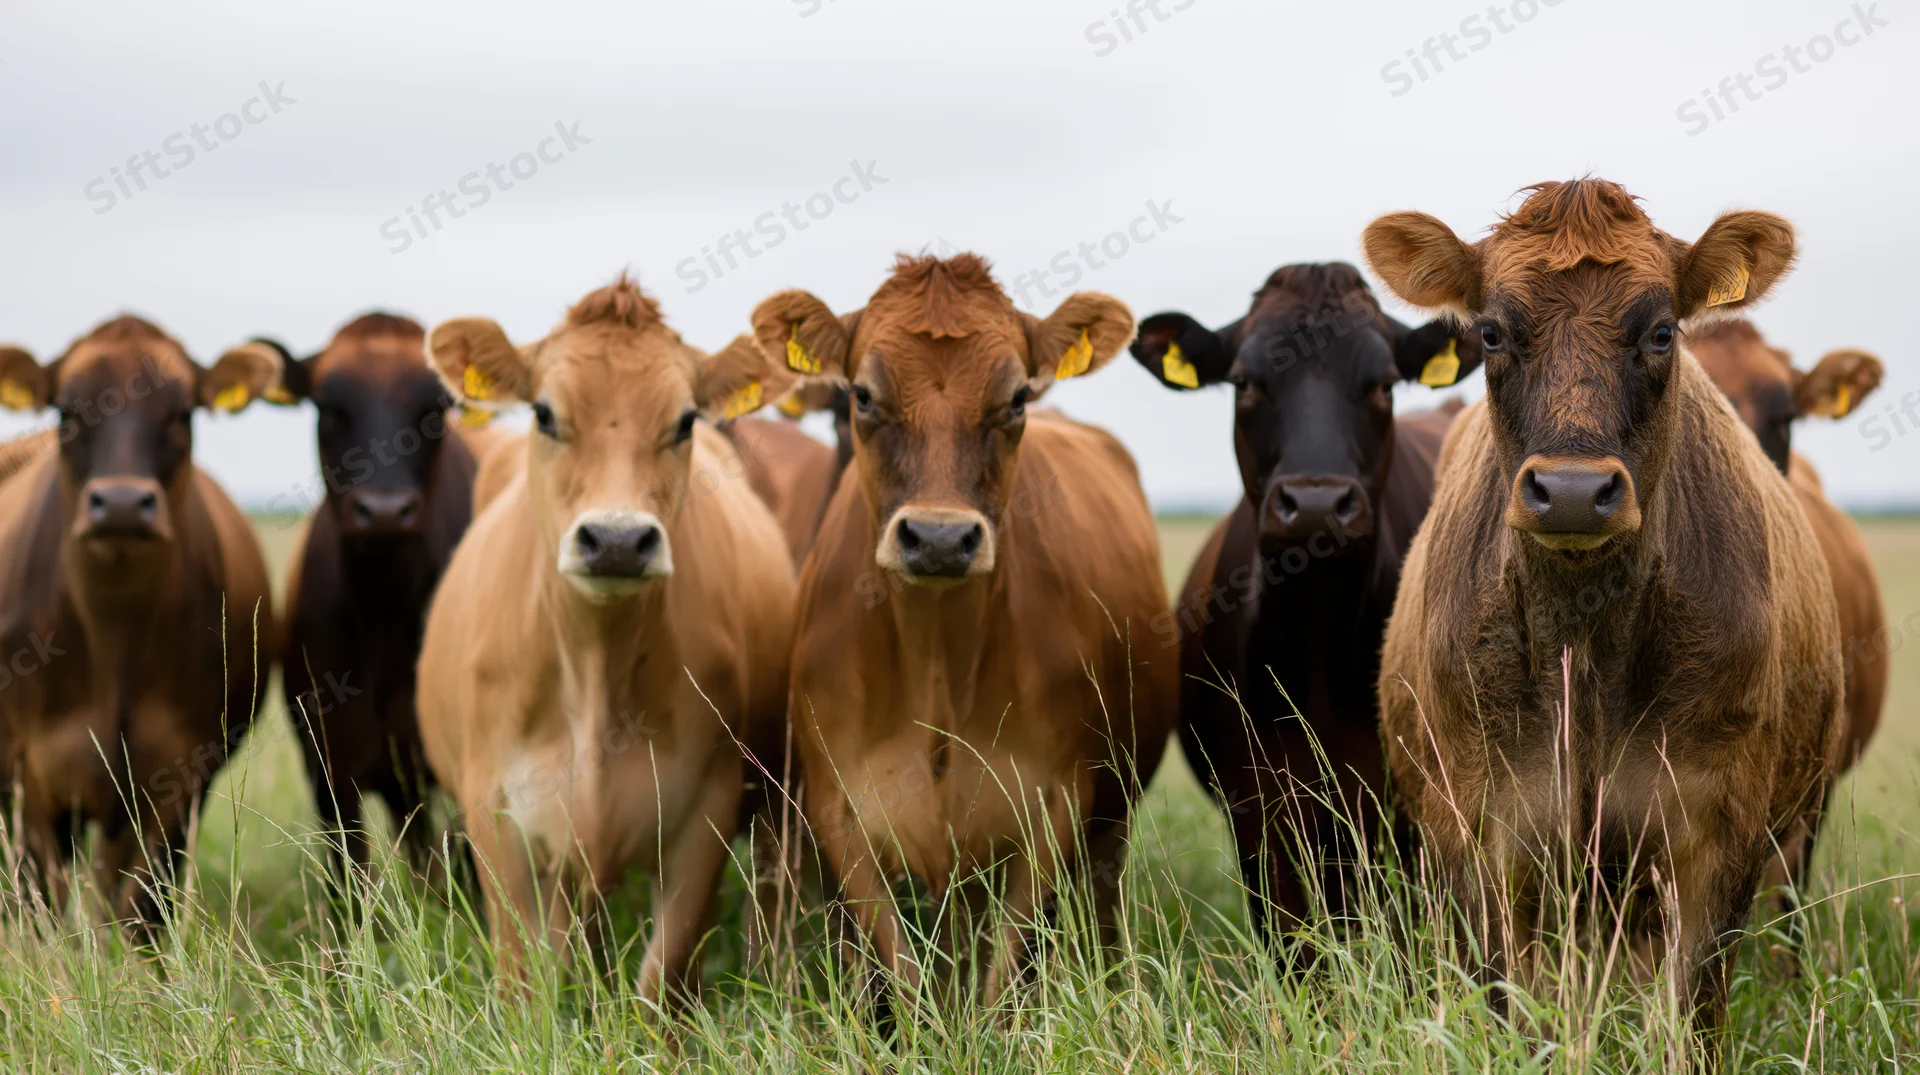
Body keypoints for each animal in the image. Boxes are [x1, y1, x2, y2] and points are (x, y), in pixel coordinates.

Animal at [0, 317, 281, 934]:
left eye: (182, 413)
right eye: (68, 410)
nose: (124, 503)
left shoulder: (178, 778)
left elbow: (142, 910)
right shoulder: (33, 780)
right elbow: (41, 906)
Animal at [242, 313, 485, 892]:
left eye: (434, 410)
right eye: (330, 407)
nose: (384, 510)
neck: (383, 612)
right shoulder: (329, 770)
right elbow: (349, 882)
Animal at [416, 278, 796, 1006]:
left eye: (686, 420)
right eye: (543, 412)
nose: (617, 539)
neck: (596, 663)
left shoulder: (705, 815)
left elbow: (662, 980)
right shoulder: (495, 816)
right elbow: (523, 980)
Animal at [721, 253, 1178, 1005]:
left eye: (1017, 398)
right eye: (863, 394)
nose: (939, 538)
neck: (936, 661)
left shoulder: (1054, 805)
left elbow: (1003, 980)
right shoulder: (837, 811)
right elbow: (902, 978)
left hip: (1110, 818)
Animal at [1363, 180, 1844, 1047]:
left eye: (1661, 331)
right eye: (1491, 330)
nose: (1573, 489)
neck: (1584, 645)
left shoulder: (1716, 831)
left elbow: (1691, 1011)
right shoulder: (1479, 830)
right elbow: (1508, 1005)